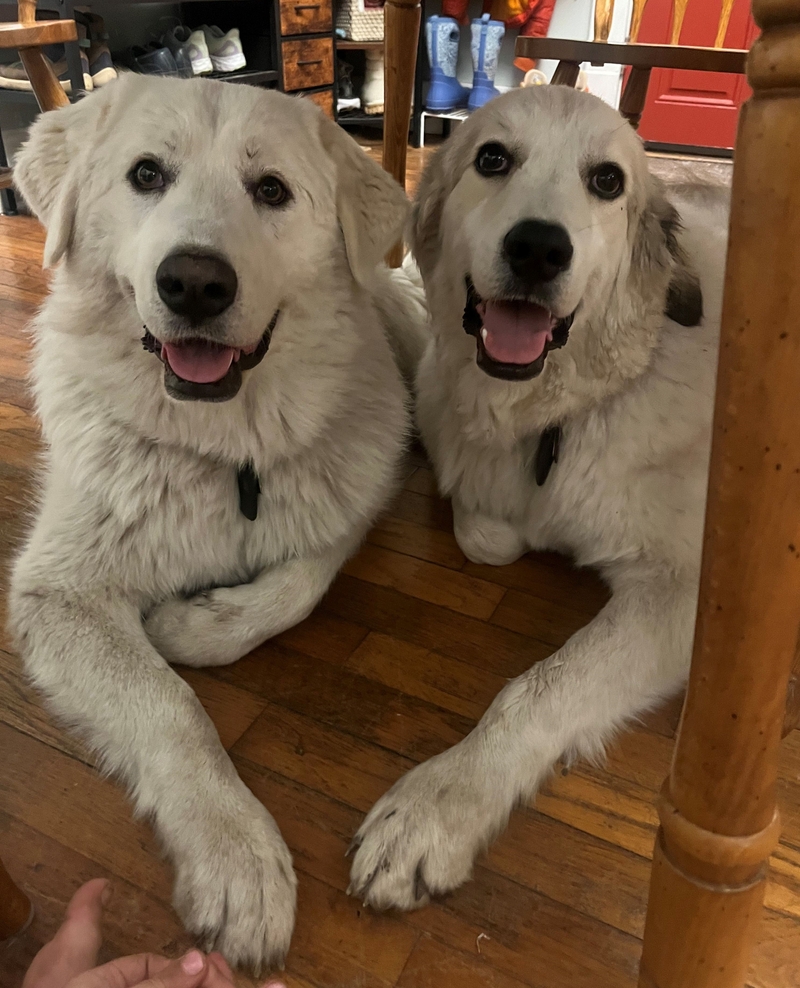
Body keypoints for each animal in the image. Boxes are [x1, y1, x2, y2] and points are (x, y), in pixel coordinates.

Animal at [9, 73, 428, 968]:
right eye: (146, 175)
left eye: (270, 190)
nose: (195, 283)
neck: (222, 451)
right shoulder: (59, 594)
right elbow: (171, 708)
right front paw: (237, 855)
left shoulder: (347, 503)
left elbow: (297, 584)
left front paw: (191, 623)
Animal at [348, 87, 724, 912]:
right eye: (493, 158)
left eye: (608, 181)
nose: (539, 250)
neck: (556, 413)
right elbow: (485, 530)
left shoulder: (688, 593)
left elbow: (539, 689)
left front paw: (435, 809)